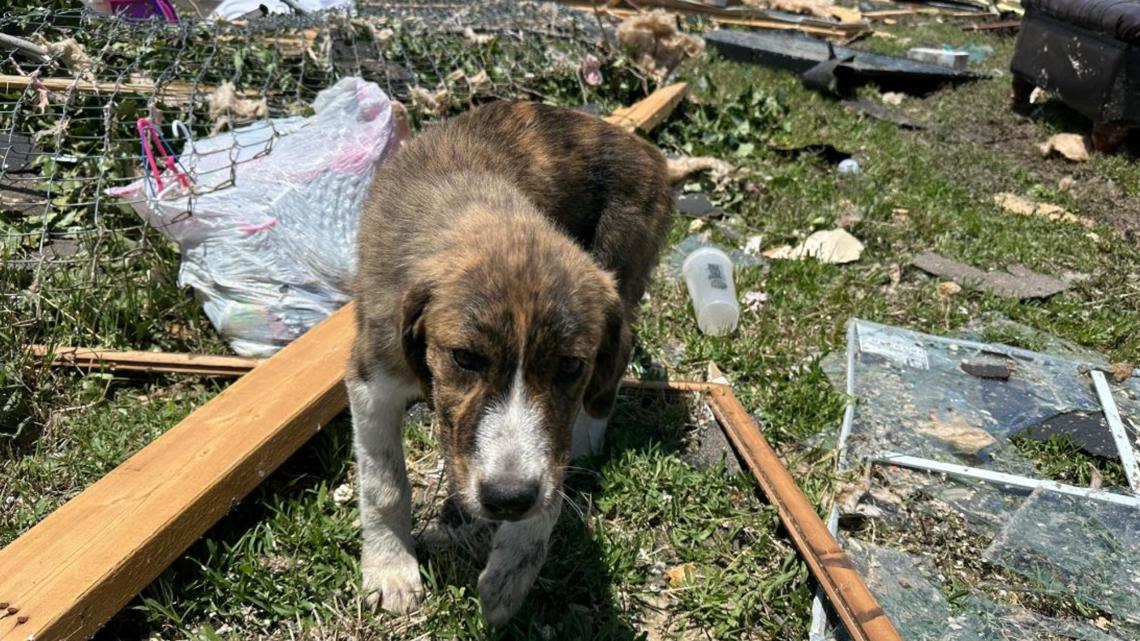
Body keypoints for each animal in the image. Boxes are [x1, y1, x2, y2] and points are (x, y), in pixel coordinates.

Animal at [344, 100, 665, 625]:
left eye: (569, 367)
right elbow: (384, 485)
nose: (509, 500)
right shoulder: (373, 379)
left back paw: (590, 436)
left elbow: (550, 489)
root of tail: (642, 145)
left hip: (626, 270)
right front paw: (391, 569)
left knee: (612, 375)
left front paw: (511, 572)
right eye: (465, 358)